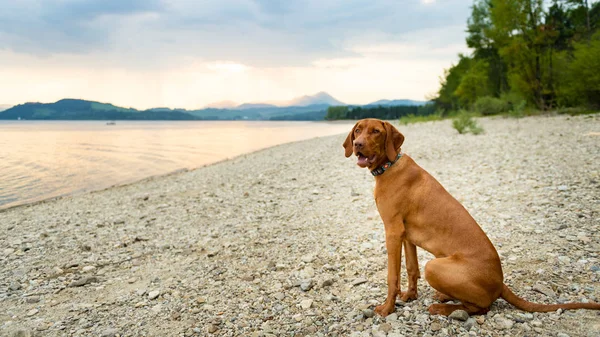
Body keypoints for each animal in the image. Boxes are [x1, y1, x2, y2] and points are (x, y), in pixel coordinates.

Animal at [342, 119, 600, 316]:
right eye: (357, 130)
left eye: (376, 131)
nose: (357, 144)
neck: (389, 165)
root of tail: (500, 283)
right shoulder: (406, 235)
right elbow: (411, 269)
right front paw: (410, 296)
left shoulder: (392, 231)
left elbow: (392, 276)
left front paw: (387, 308)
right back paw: (444, 297)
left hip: (435, 266)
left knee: (480, 307)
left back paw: (443, 307)